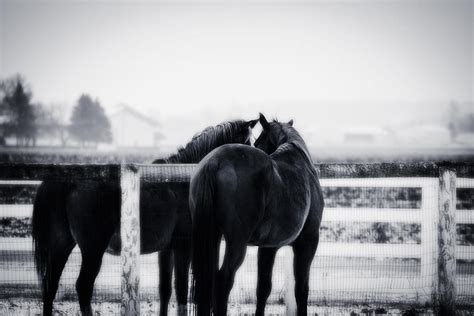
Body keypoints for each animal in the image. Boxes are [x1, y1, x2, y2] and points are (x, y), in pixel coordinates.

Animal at [31, 118, 258, 316]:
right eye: (247, 143)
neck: (182, 179)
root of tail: (66, 181)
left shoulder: (166, 250)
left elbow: (165, 289)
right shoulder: (183, 246)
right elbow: (181, 290)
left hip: (62, 244)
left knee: (50, 286)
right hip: (92, 249)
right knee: (83, 287)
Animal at [191, 113, 324, 316]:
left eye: (258, 141)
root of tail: (215, 162)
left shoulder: (268, 247)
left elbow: (263, 288)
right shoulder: (307, 242)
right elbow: (301, 289)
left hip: (211, 236)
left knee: (206, 278)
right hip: (236, 243)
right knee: (223, 280)